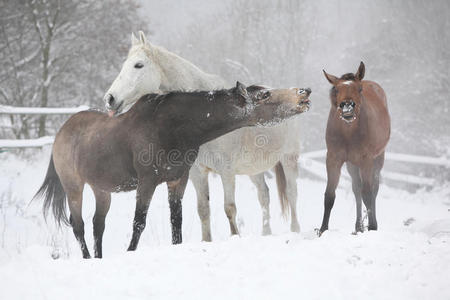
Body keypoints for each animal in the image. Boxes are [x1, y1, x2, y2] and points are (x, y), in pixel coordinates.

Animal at [33, 82, 312, 258]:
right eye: (264, 96)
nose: (304, 92)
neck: (170, 128)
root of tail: (61, 132)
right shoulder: (146, 182)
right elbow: (139, 222)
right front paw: (130, 252)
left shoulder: (179, 180)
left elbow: (176, 221)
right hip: (74, 187)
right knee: (78, 224)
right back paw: (88, 258)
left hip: (102, 190)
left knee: (96, 224)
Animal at [103, 31, 304, 241]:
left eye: (138, 65)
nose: (110, 98)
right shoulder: (197, 172)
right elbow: (203, 210)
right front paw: (206, 240)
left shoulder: (226, 170)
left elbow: (229, 208)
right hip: (253, 168)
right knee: (264, 195)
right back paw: (266, 233)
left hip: (289, 158)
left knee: (292, 193)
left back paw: (295, 230)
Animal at [320, 61, 390, 234]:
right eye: (337, 89)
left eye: (359, 89)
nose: (347, 106)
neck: (348, 133)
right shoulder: (333, 159)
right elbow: (329, 195)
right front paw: (322, 230)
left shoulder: (366, 160)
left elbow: (368, 194)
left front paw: (372, 227)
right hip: (352, 164)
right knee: (356, 189)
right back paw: (358, 226)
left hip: (378, 158)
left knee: (373, 190)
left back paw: (371, 224)